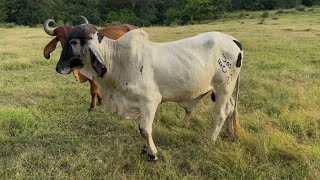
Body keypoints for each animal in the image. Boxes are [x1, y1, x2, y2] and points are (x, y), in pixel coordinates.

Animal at [56, 23, 244, 160]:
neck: (118, 59)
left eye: (73, 42)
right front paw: (145, 150)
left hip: (223, 87)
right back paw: (230, 134)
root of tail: (235, 41)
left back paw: (210, 141)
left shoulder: (150, 100)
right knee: (231, 109)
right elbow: (140, 128)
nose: (58, 67)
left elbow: (145, 129)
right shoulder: (138, 104)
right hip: (223, 91)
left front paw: (153, 154)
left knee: (221, 114)